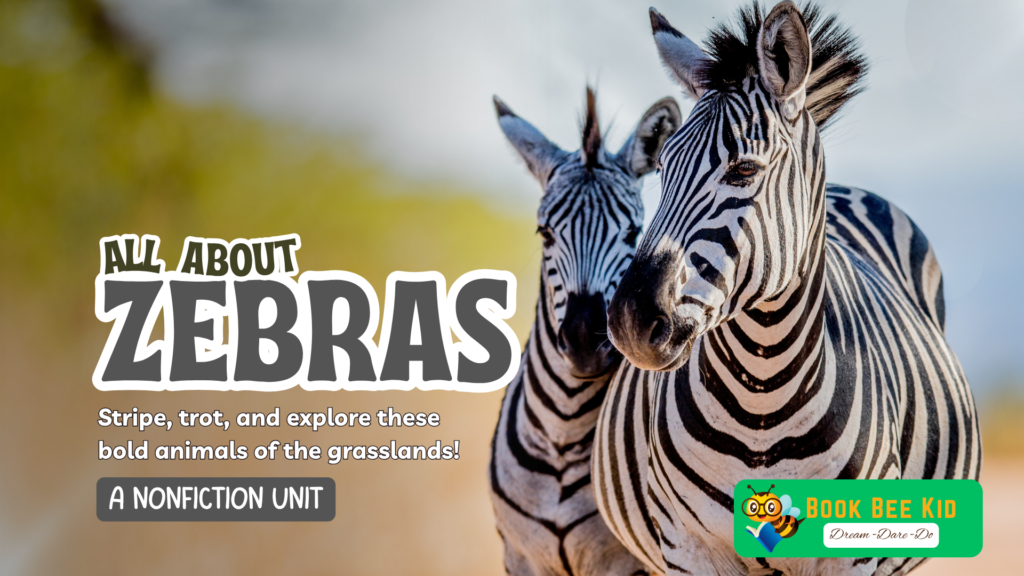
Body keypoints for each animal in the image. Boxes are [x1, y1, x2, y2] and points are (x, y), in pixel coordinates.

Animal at [489, 88, 681, 576]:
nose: (584, 345)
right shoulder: (519, 555)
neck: (563, 430)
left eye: (633, 232)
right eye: (544, 233)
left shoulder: (627, 563)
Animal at [592, 3, 981, 576]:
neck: (762, 399)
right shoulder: (688, 548)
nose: (630, 322)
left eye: (744, 169)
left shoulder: (854, 556)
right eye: (662, 169)